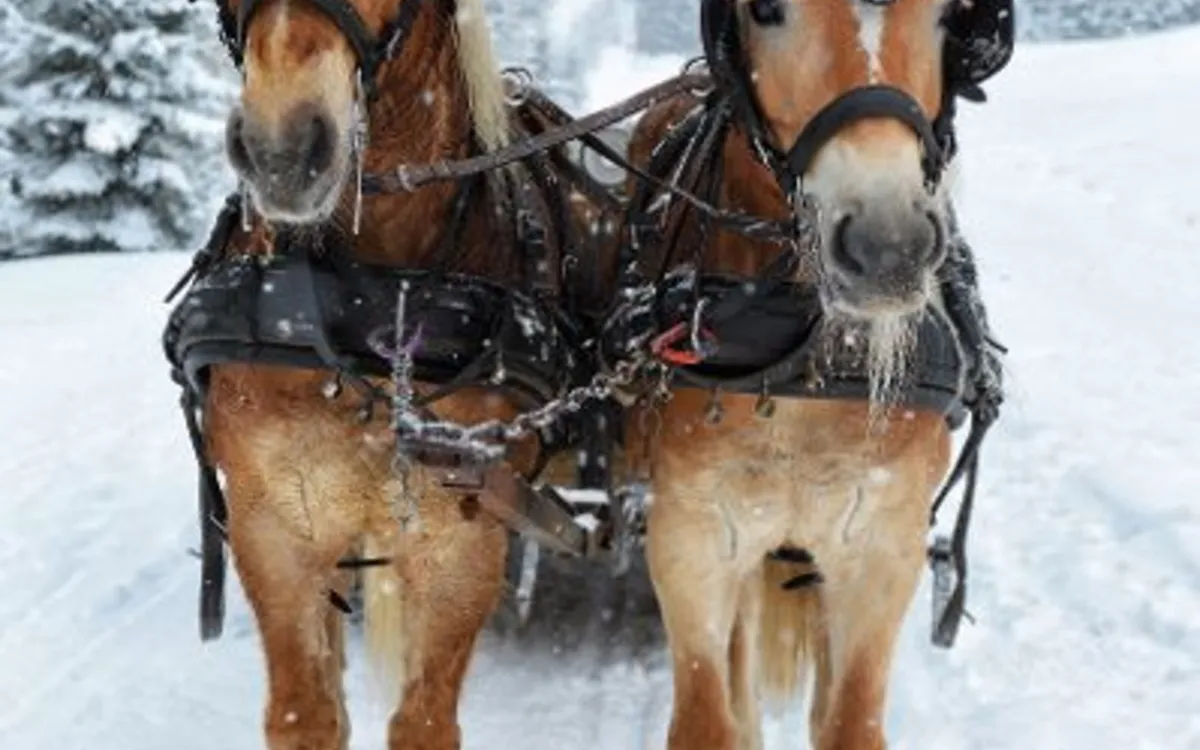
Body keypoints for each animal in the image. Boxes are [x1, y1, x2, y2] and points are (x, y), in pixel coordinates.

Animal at [179, 1, 598, 748]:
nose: (281, 152)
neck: (364, 299)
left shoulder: (461, 538)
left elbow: (424, 721)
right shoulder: (273, 527)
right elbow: (307, 715)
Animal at [613, 1, 1013, 748]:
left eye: (948, 16)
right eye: (767, 10)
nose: (888, 248)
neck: (799, 355)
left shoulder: (884, 546)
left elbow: (849, 718)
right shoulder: (689, 538)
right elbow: (711, 717)